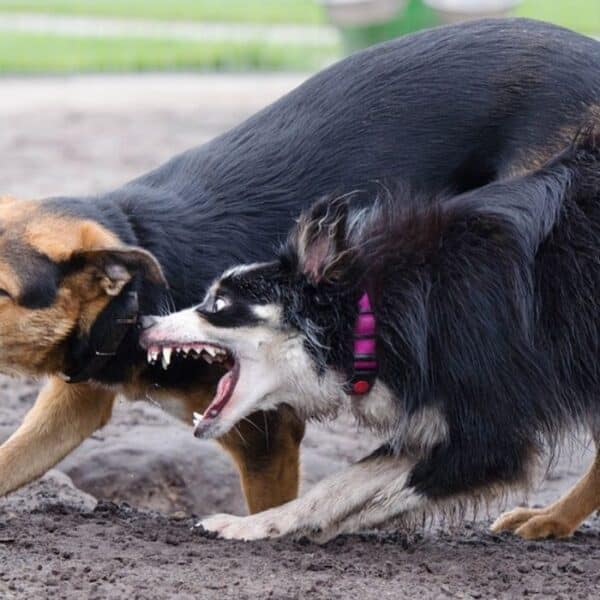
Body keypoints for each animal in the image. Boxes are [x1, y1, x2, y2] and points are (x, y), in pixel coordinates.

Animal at [142, 127, 600, 544]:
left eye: (218, 303)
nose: (144, 323)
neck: (371, 314)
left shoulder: (491, 434)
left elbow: (388, 494)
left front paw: (304, 527)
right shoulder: (430, 417)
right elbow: (342, 483)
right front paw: (264, 524)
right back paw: (552, 520)